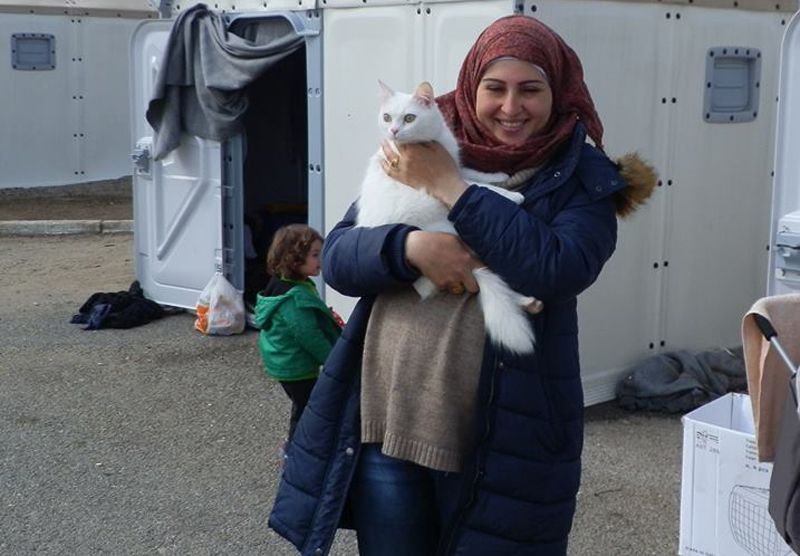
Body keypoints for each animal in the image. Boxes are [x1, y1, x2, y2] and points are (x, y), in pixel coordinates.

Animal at [354, 80, 543, 355]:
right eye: (387, 117)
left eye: (409, 118)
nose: (394, 131)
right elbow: (474, 185)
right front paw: (511, 195)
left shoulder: (454, 166)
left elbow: (471, 173)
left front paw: (497, 174)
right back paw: (527, 301)